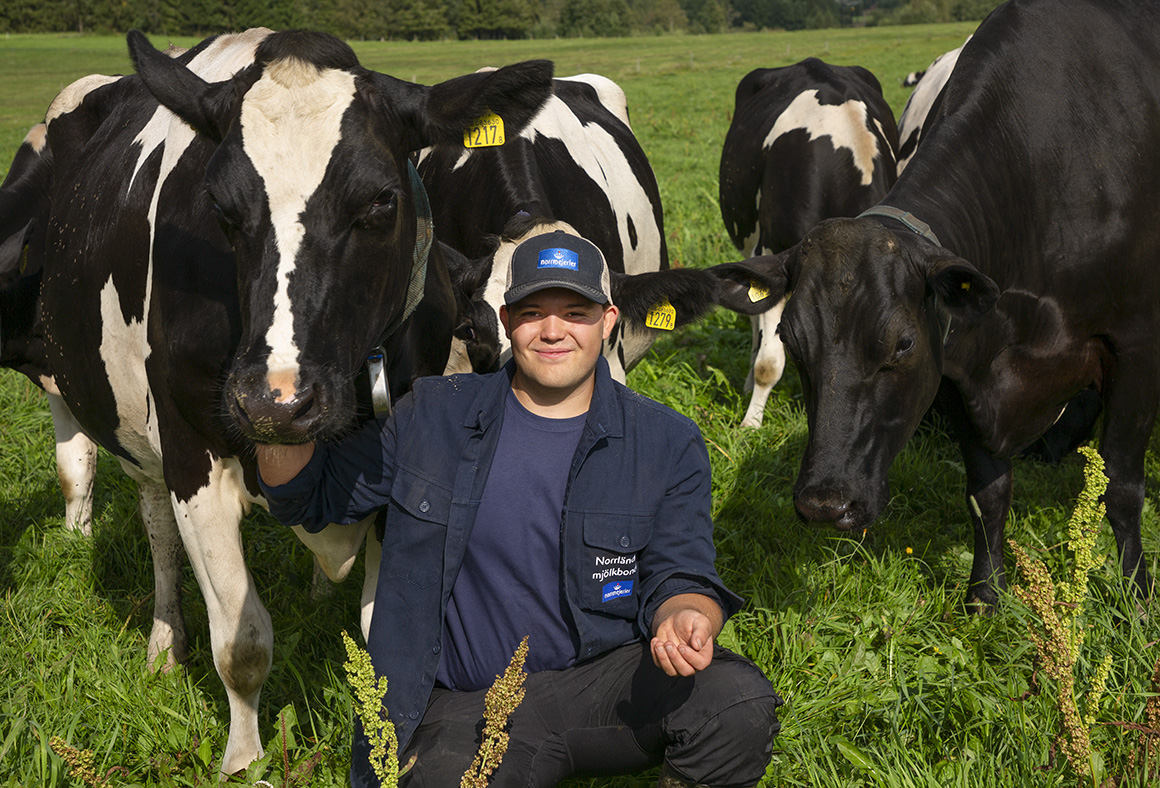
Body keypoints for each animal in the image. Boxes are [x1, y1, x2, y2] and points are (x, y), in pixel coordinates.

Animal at [35, 27, 556, 775]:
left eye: (381, 200)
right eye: (220, 208)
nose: (277, 403)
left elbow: (385, 638)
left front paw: (393, 752)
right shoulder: (192, 453)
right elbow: (242, 642)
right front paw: (244, 763)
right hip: (119, 418)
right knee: (151, 523)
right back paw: (165, 643)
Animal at [737, 0, 1160, 608]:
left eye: (903, 343)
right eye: (794, 341)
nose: (824, 503)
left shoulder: (1136, 345)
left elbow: (1123, 487)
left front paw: (1135, 599)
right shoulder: (963, 362)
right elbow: (987, 491)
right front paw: (986, 597)